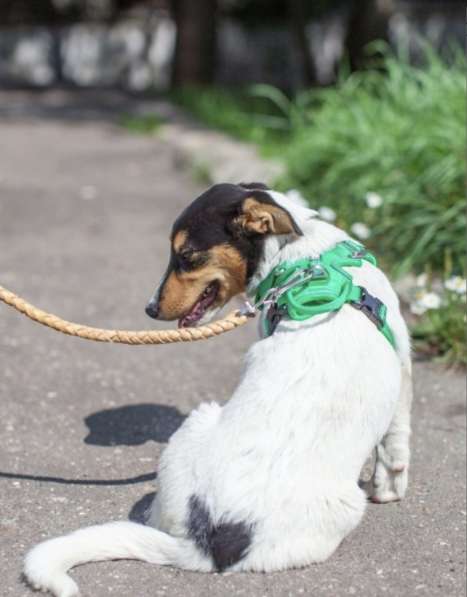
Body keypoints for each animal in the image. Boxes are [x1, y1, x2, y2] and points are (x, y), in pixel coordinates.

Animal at [24, 183, 414, 596]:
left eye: (187, 256)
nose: (149, 309)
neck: (301, 257)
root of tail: (207, 542)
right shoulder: (404, 365)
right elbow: (395, 445)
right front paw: (389, 488)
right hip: (205, 418)